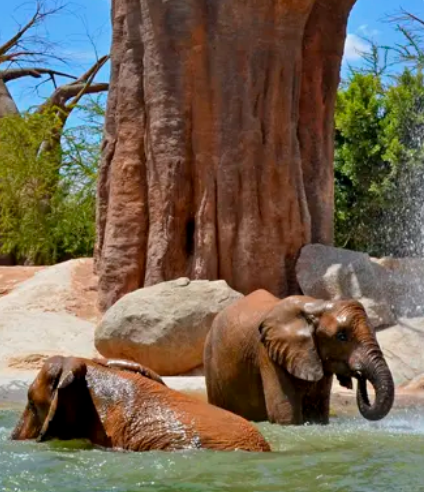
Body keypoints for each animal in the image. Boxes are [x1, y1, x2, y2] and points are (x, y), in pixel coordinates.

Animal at [204, 290, 396, 424]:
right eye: (341, 336)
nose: (359, 375)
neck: (316, 305)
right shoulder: (267, 354)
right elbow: (284, 414)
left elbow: (317, 414)